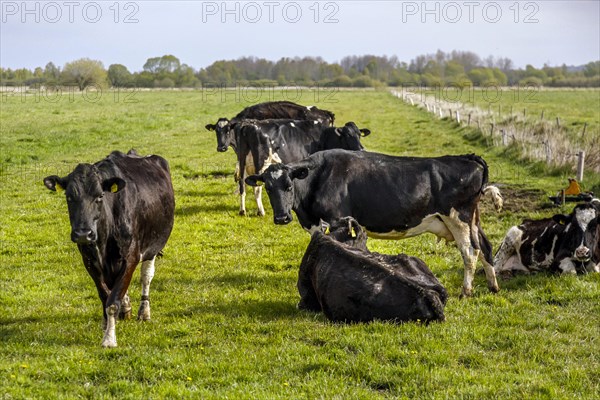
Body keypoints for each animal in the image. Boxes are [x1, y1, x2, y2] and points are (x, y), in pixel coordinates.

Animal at [44, 150, 176, 346]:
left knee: (146, 277)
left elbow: (113, 302)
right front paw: (106, 324)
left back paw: (144, 311)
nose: (83, 234)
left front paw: (109, 338)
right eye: (69, 197)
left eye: (99, 196)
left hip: (153, 245)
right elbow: (105, 295)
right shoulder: (89, 260)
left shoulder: (131, 257)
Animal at [236, 119, 370, 217]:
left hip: (242, 162)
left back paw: (242, 210)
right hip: (261, 162)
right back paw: (261, 211)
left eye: (359, 135)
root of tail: (248, 125)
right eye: (347, 136)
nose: (361, 149)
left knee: (242, 185)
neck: (324, 136)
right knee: (257, 188)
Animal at [246, 148, 504, 296]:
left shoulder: (338, 220)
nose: (281, 217)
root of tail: (468, 158)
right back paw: (493, 286)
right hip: (471, 220)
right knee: (485, 247)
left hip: (458, 218)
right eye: (268, 188)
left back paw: (466, 291)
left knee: (470, 252)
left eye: (289, 185)